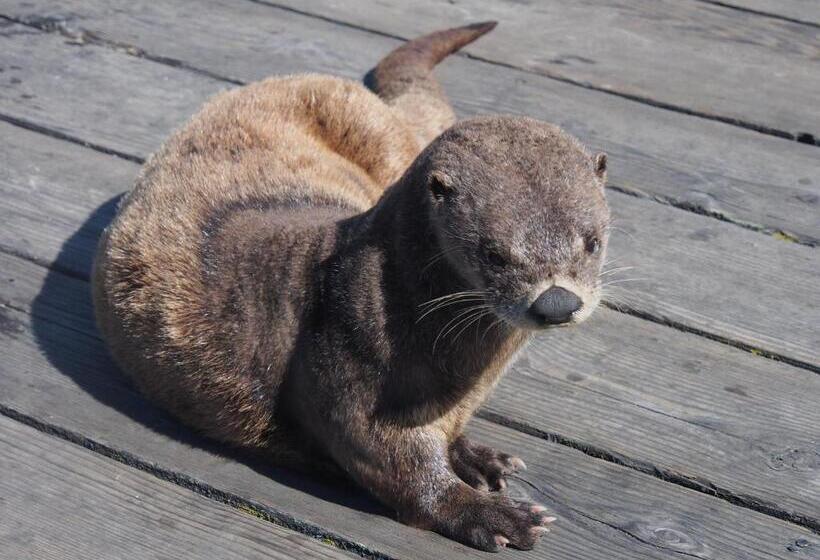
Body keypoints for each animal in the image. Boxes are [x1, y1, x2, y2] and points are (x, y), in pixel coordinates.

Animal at [92, 22, 610, 551]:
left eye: (592, 242)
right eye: (494, 254)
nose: (557, 301)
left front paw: (476, 456)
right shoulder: (348, 361)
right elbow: (389, 459)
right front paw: (491, 515)